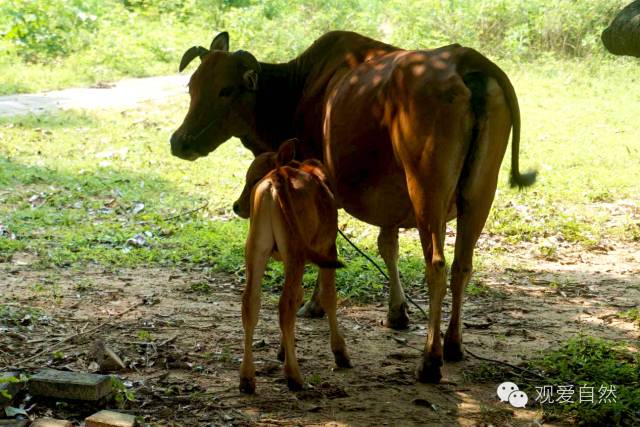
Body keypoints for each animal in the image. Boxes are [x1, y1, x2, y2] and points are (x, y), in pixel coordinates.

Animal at [234, 141, 350, 394]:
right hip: (296, 252)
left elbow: (299, 296)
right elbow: (328, 297)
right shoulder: (329, 248)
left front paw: (282, 351)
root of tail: (278, 176)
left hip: (256, 249)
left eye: (251, 178)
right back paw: (293, 376)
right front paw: (340, 352)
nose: (237, 207)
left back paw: (247, 378)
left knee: (250, 303)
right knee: (284, 306)